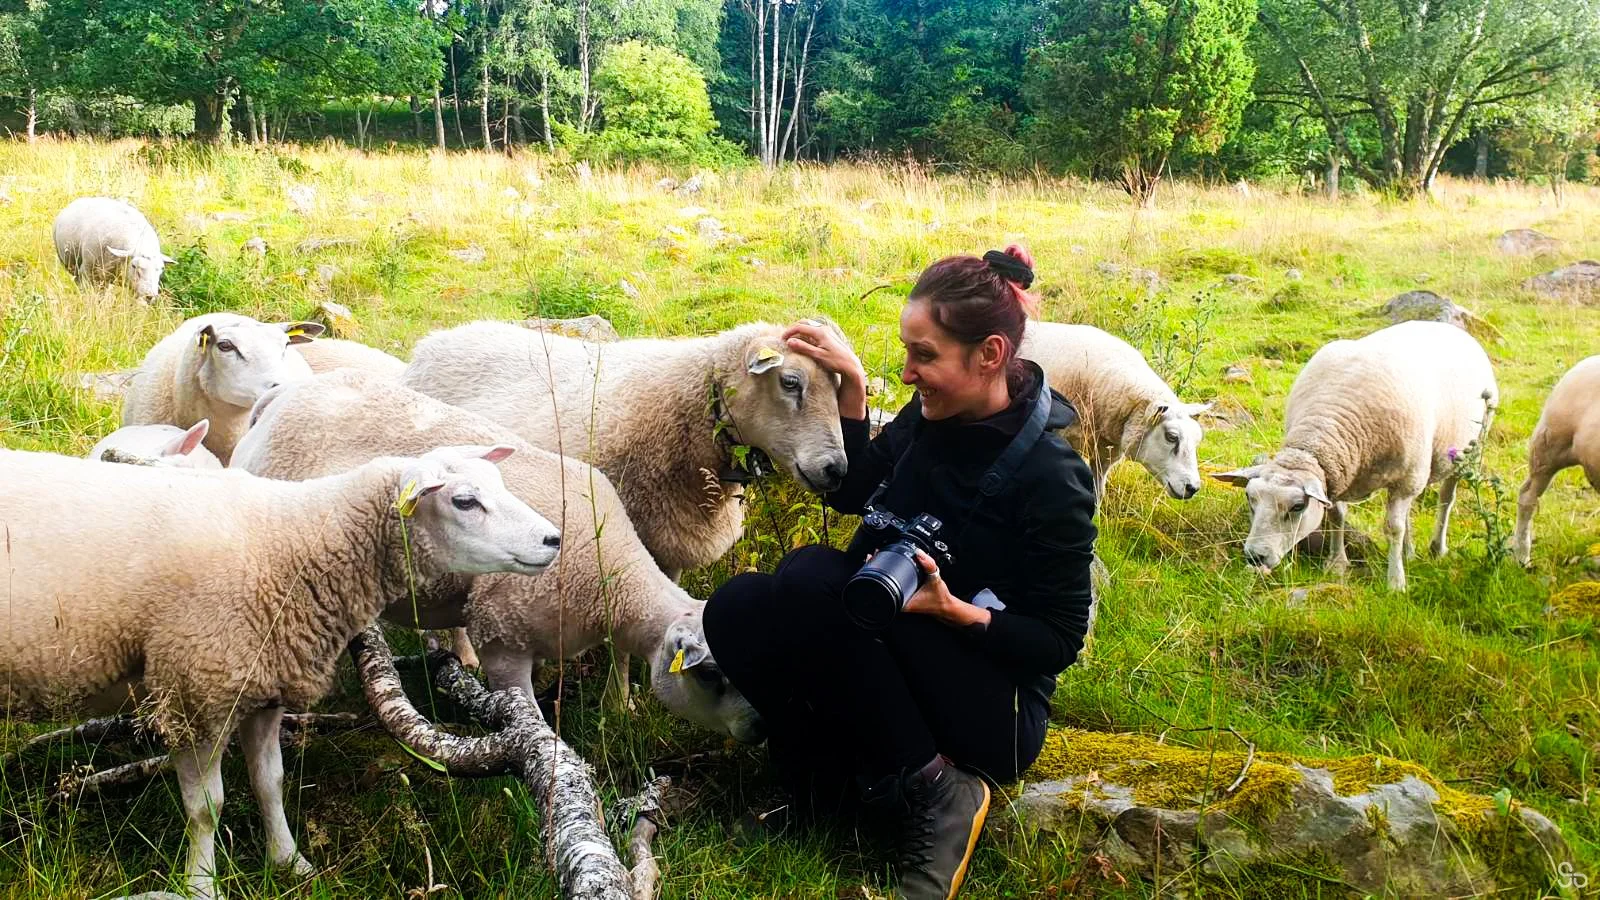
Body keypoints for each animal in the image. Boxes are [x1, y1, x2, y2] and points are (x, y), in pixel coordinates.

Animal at [0, 445, 560, 899]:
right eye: (465, 502)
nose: (553, 539)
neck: (294, 539)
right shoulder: (196, 687)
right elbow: (206, 807)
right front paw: (202, 884)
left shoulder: (263, 685)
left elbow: (270, 781)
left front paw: (291, 863)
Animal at [232, 369, 765, 744]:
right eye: (711, 674)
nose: (760, 730)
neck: (607, 577)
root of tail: (281, 398)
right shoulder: (506, 640)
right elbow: (530, 721)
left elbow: (621, 658)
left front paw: (621, 706)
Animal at [1214, 321, 1498, 592]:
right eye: (1250, 499)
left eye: (1297, 507)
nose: (1255, 557)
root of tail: (1450, 328)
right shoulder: (1337, 475)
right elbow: (1337, 516)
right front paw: (1337, 564)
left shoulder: (1405, 479)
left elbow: (1393, 528)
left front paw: (1395, 583)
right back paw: (1409, 553)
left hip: (1469, 450)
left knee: (1445, 500)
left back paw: (1437, 548)